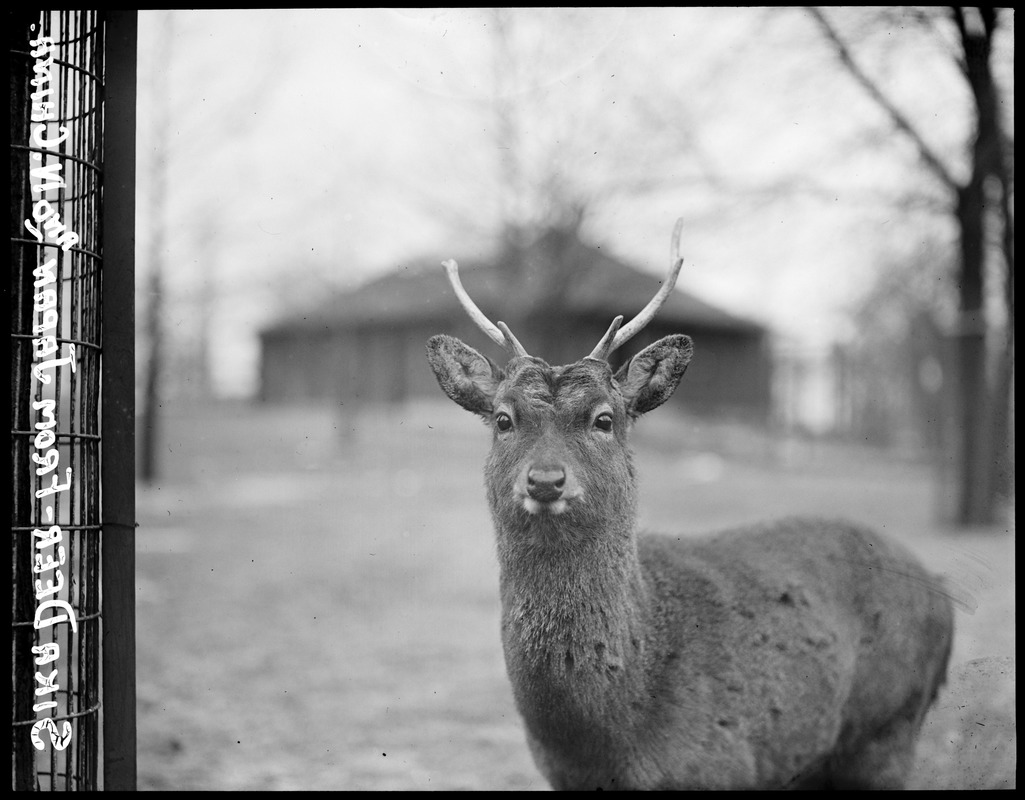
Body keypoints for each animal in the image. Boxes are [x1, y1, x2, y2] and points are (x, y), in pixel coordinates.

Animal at [424, 220, 951, 791]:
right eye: (503, 418)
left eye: (604, 419)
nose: (545, 480)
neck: (608, 742)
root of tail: (943, 596)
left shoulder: (723, 767)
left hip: (891, 725)